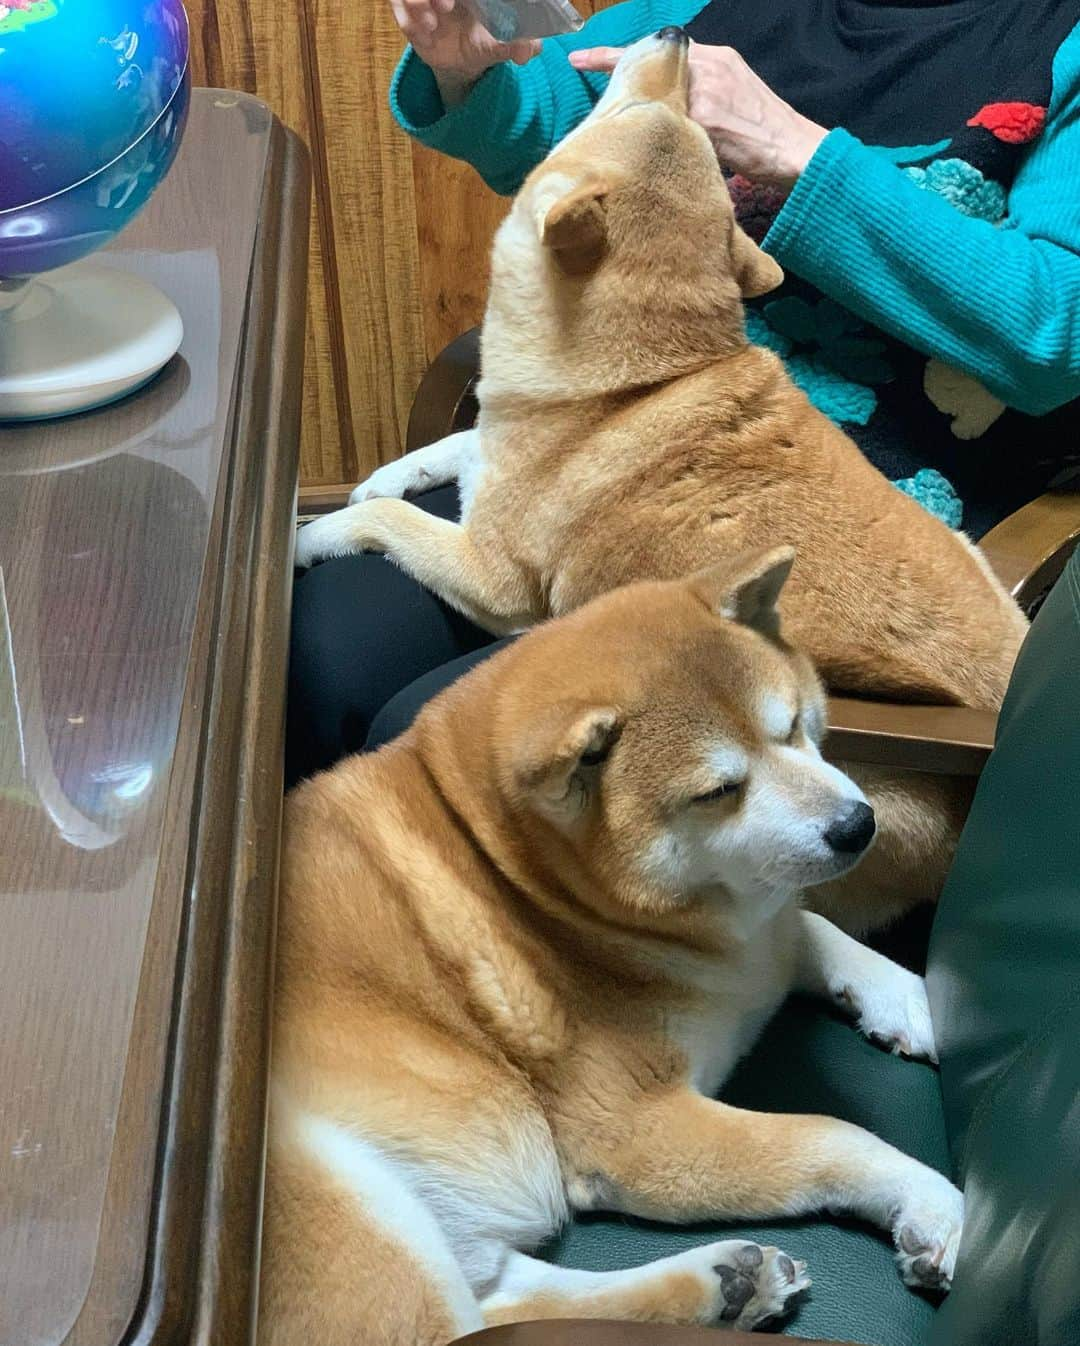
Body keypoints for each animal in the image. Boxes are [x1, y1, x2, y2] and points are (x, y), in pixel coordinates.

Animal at [258, 549, 958, 1346]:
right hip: (343, 1199)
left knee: (512, 1302)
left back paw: (726, 1286)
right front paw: (929, 1199)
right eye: (719, 791)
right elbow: (833, 1137)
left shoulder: (760, 944)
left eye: (791, 729)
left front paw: (905, 998)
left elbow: (813, 931)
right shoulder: (638, 1129)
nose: (858, 826)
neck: (519, 875)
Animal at [296, 31, 1028, 936]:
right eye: (673, 118)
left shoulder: (499, 581)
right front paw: (381, 477)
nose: (680, 39)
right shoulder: (497, 448)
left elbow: (397, 525)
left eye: (643, 109)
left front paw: (318, 531)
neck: (643, 380)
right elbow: (450, 451)